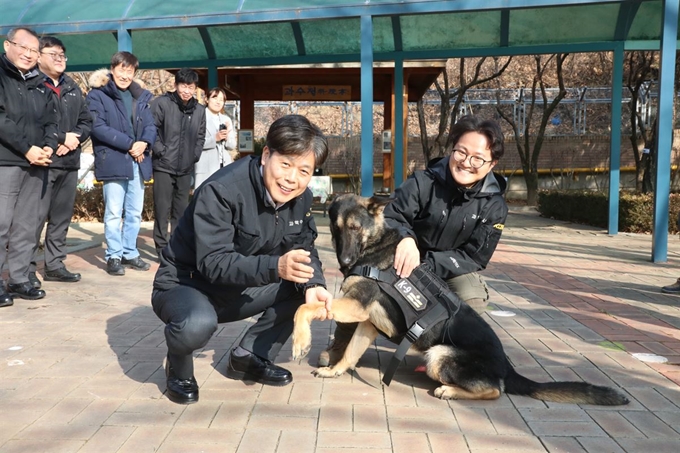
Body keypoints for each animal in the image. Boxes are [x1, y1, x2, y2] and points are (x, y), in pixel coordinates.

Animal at [290, 192, 628, 404]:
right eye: (335, 229)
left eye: (355, 228)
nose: (345, 260)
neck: (375, 247)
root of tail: (507, 367)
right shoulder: (367, 321)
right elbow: (350, 353)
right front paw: (334, 370)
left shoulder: (355, 306)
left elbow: (304, 308)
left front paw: (300, 342)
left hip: (439, 356)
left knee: (496, 391)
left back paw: (449, 391)